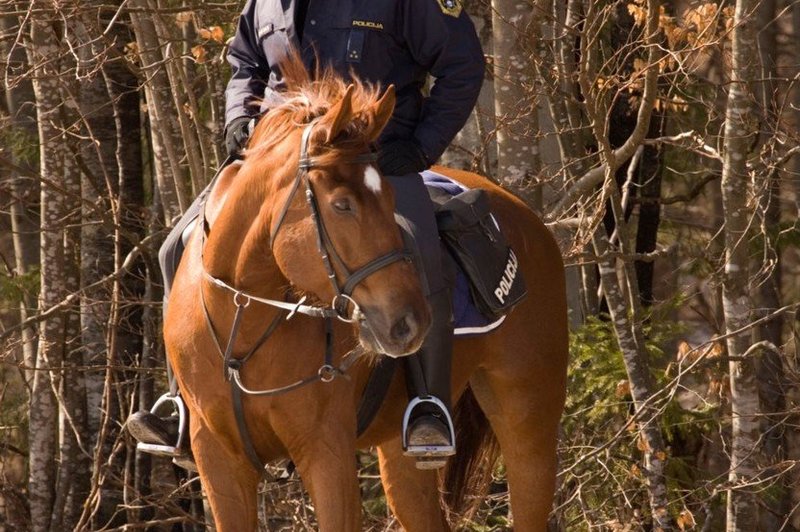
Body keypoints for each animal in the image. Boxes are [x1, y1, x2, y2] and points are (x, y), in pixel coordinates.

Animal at [167, 55, 568, 532]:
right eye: (342, 204)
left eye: (391, 195)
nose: (411, 323)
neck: (242, 323)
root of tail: (525, 216)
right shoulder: (218, 461)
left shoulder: (326, 453)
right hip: (402, 456)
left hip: (528, 423)